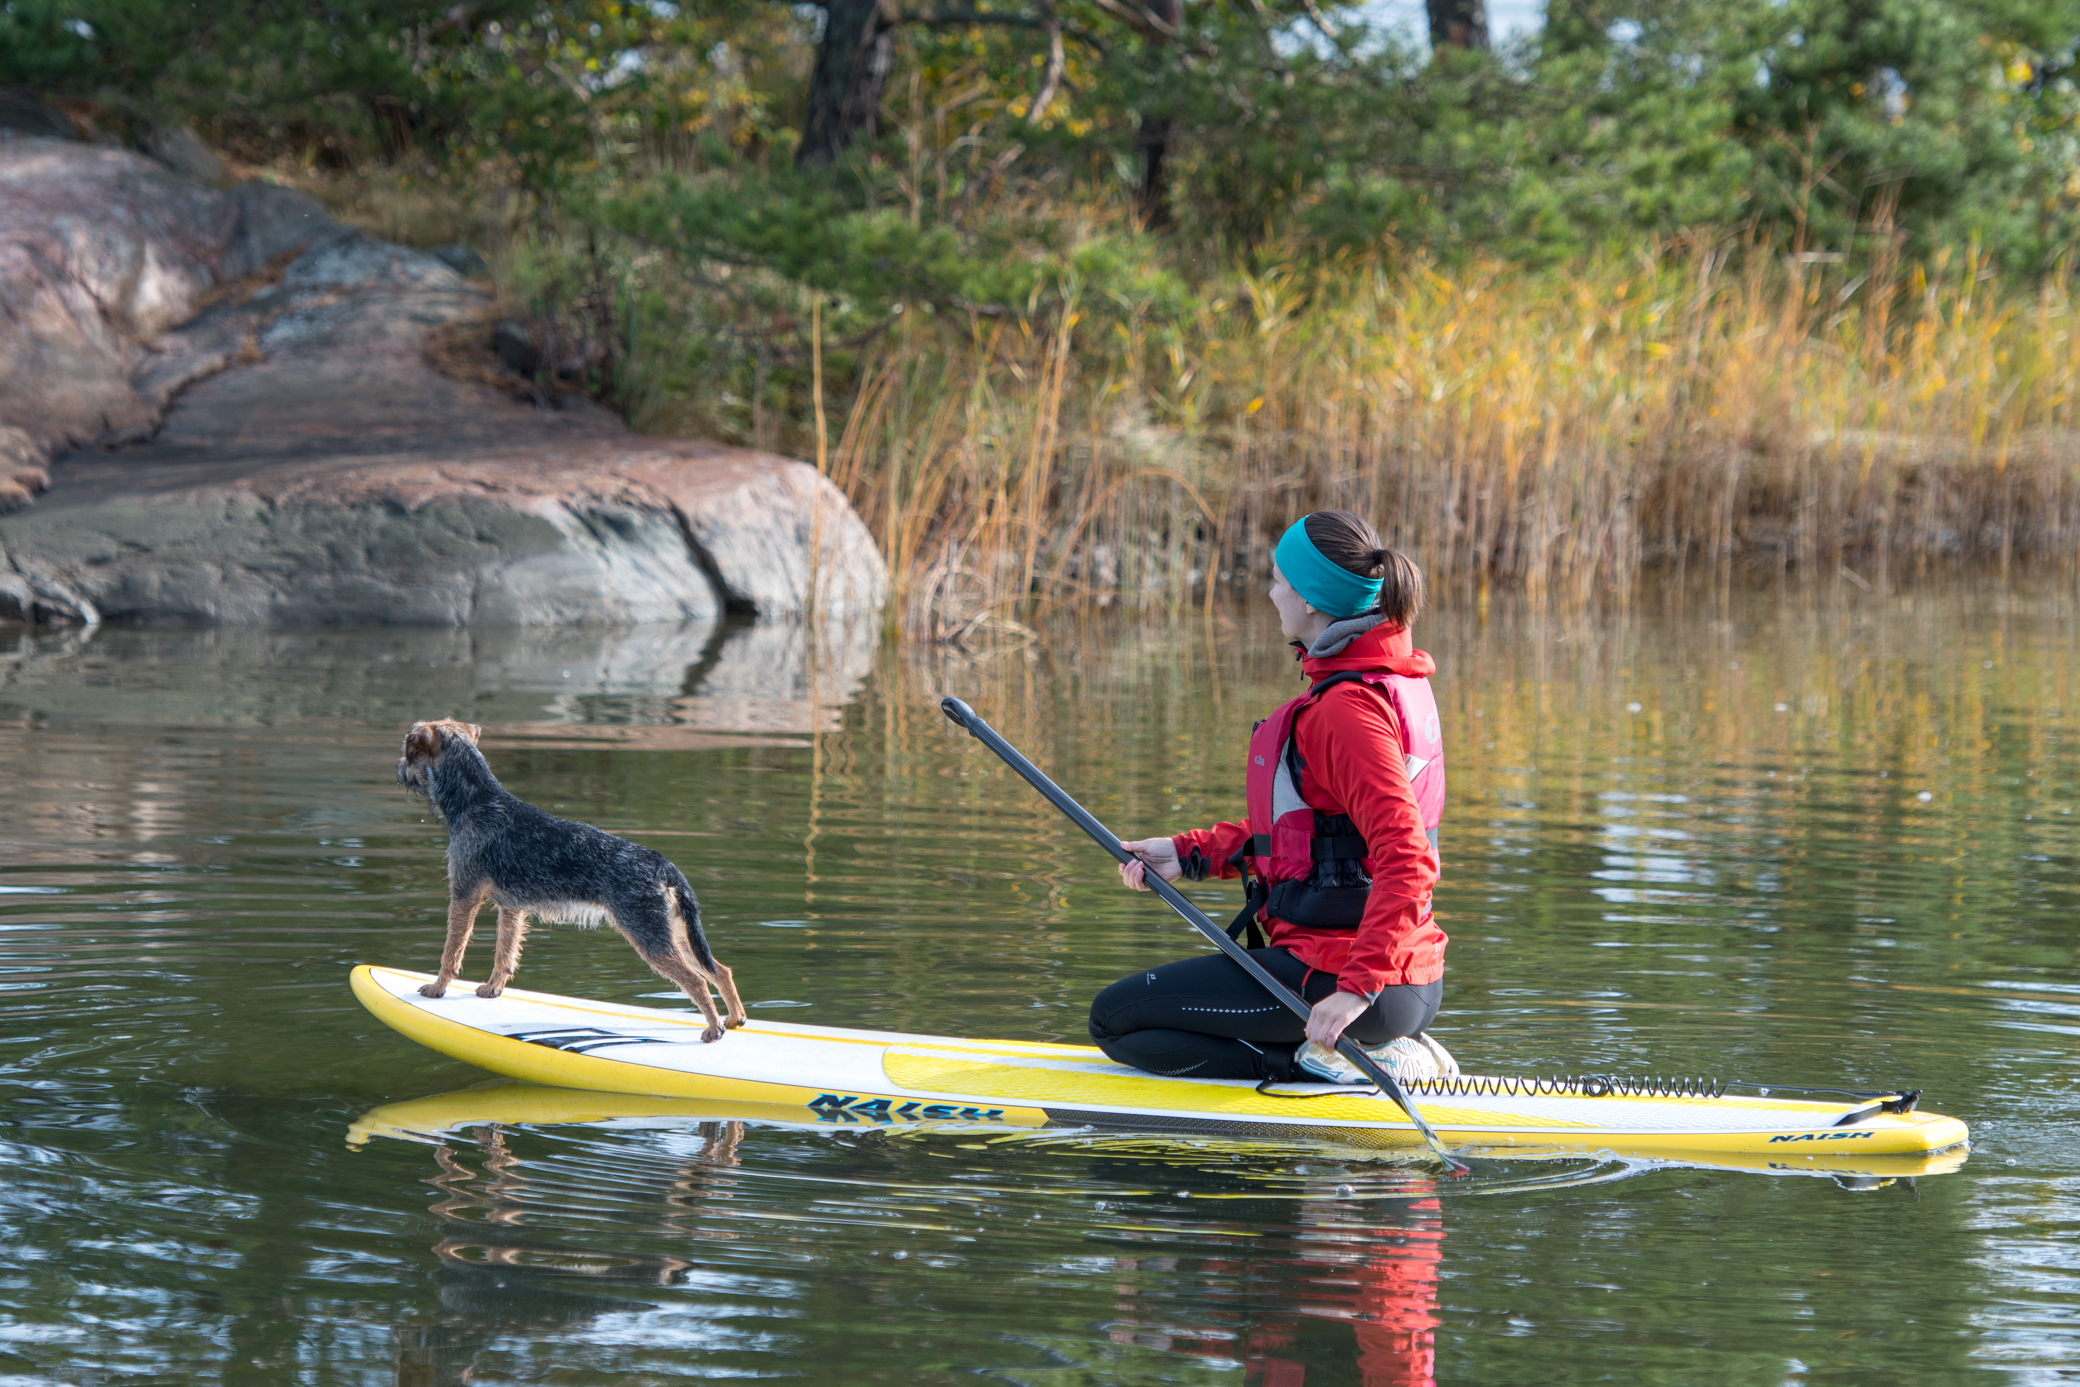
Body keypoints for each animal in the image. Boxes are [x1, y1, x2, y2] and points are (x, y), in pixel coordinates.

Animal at [395, 727, 748, 1039]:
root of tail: (663, 865)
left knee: (697, 981)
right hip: (676, 934)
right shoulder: (511, 909)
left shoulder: (463, 894)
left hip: (651, 938)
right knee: (720, 970)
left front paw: (438, 988)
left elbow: (451, 952)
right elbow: (504, 955)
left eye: (408, 749)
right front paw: (492, 989)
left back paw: (713, 1030)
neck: (476, 801)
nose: (398, 770)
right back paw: (733, 1018)